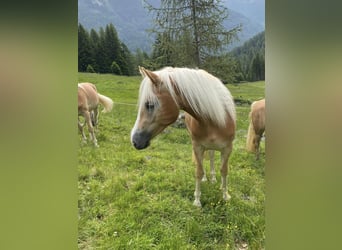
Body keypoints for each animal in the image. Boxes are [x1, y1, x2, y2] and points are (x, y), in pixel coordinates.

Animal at [130, 66, 235, 207]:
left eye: (150, 105)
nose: (134, 140)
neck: (214, 120)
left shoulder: (228, 148)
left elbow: (224, 170)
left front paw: (225, 195)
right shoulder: (197, 146)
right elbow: (198, 171)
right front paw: (197, 200)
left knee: (212, 156)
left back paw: (213, 179)